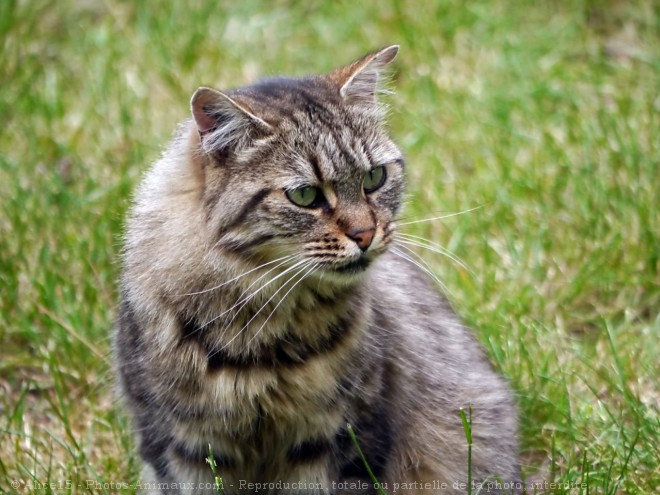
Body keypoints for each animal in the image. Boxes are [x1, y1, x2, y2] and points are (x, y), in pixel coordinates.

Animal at [114, 44, 520, 494]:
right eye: (306, 195)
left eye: (374, 178)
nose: (365, 234)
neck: (261, 337)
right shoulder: (178, 445)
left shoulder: (339, 440)